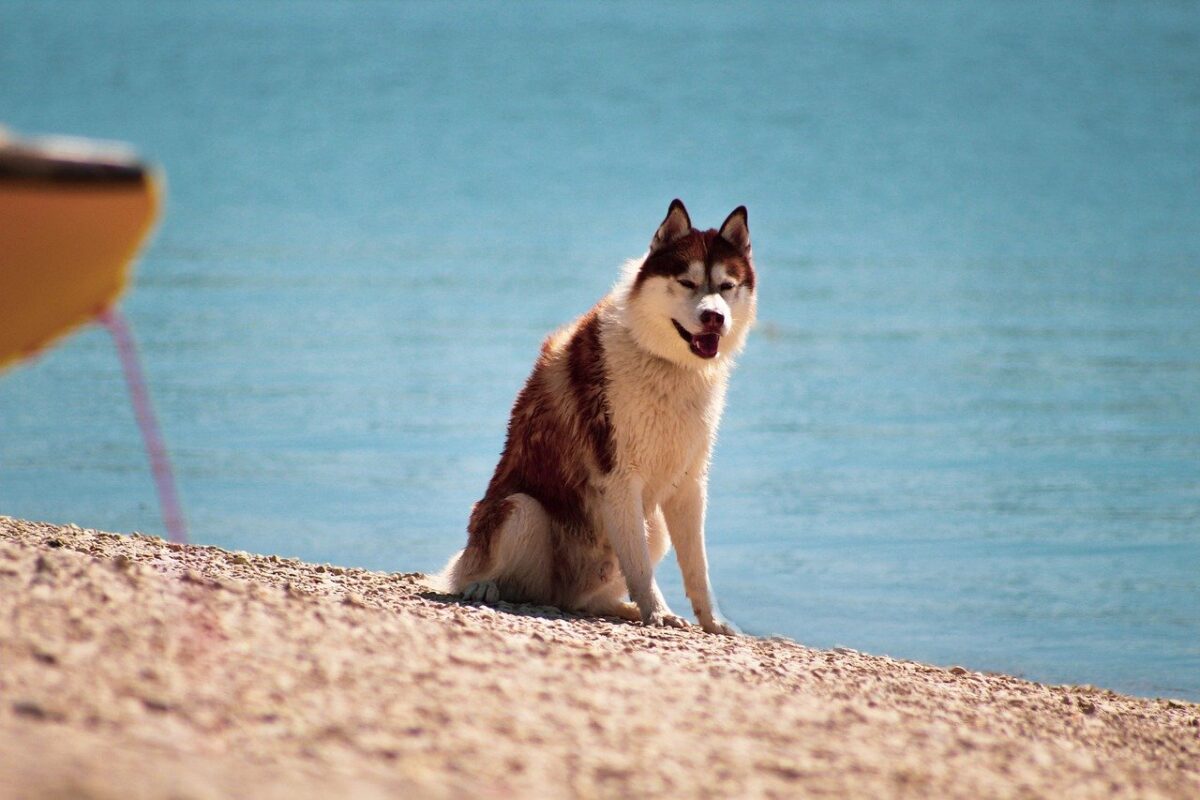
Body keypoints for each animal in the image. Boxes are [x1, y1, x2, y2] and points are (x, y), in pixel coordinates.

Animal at [441, 199, 758, 633]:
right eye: (687, 283)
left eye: (726, 286)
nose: (714, 317)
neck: (665, 362)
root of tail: (561, 595)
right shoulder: (619, 478)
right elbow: (640, 566)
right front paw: (658, 612)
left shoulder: (689, 484)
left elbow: (698, 569)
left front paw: (713, 622)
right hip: (519, 510)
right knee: (490, 571)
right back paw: (483, 586)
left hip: (652, 527)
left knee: (589, 597)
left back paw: (617, 607)